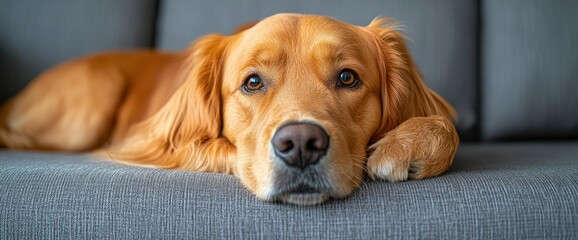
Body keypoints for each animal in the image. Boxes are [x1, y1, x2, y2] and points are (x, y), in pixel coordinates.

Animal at [1, 13, 460, 204]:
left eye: (347, 78)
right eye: (252, 82)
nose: (301, 144)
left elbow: (448, 126)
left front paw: (407, 143)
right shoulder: (152, 141)